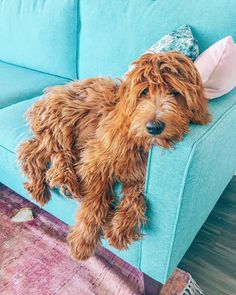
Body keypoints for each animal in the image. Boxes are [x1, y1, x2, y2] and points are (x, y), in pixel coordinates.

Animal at [17, 51, 211, 262]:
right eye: (144, 92)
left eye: (175, 93)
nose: (154, 127)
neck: (138, 140)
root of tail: (50, 93)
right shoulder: (96, 159)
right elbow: (95, 200)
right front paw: (83, 241)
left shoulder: (139, 175)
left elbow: (136, 196)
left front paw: (120, 229)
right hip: (62, 126)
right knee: (33, 152)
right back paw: (46, 185)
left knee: (41, 152)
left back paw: (63, 182)